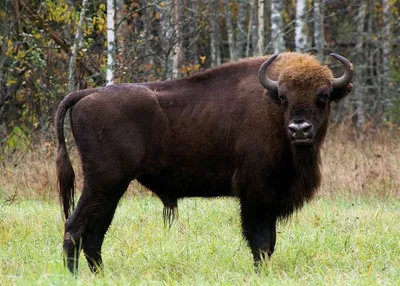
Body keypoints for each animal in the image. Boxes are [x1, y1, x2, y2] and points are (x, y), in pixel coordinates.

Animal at [55, 51, 354, 272]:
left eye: (323, 95)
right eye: (283, 97)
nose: (300, 129)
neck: (273, 110)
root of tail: (86, 94)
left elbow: (269, 242)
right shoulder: (255, 194)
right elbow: (261, 241)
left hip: (112, 188)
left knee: (94, 234)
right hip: (104, 182)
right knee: (75, 227)